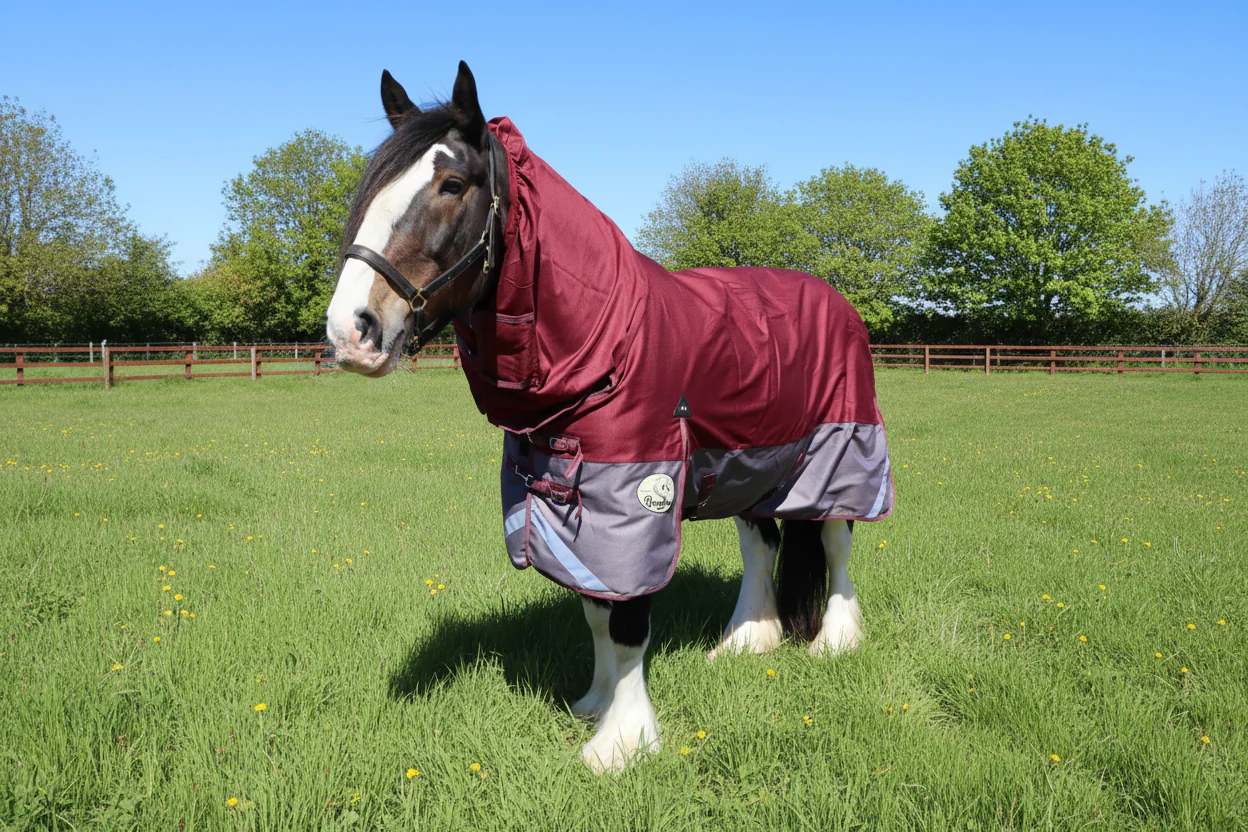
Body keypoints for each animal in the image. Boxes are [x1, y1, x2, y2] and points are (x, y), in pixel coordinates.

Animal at [325, 62, 894, 773]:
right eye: (370, 189)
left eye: (452, 184)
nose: (350, 330)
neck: (608, 342)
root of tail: (834, 299)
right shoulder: (564, 499)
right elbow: (596, 611)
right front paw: (593, 705)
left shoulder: (632, 496)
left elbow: (626, 623)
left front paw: (622, 744)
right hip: (754, 458)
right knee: (761, 544)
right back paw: (744, 640)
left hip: (839, 448)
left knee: (836, 538)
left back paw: (835, 640)